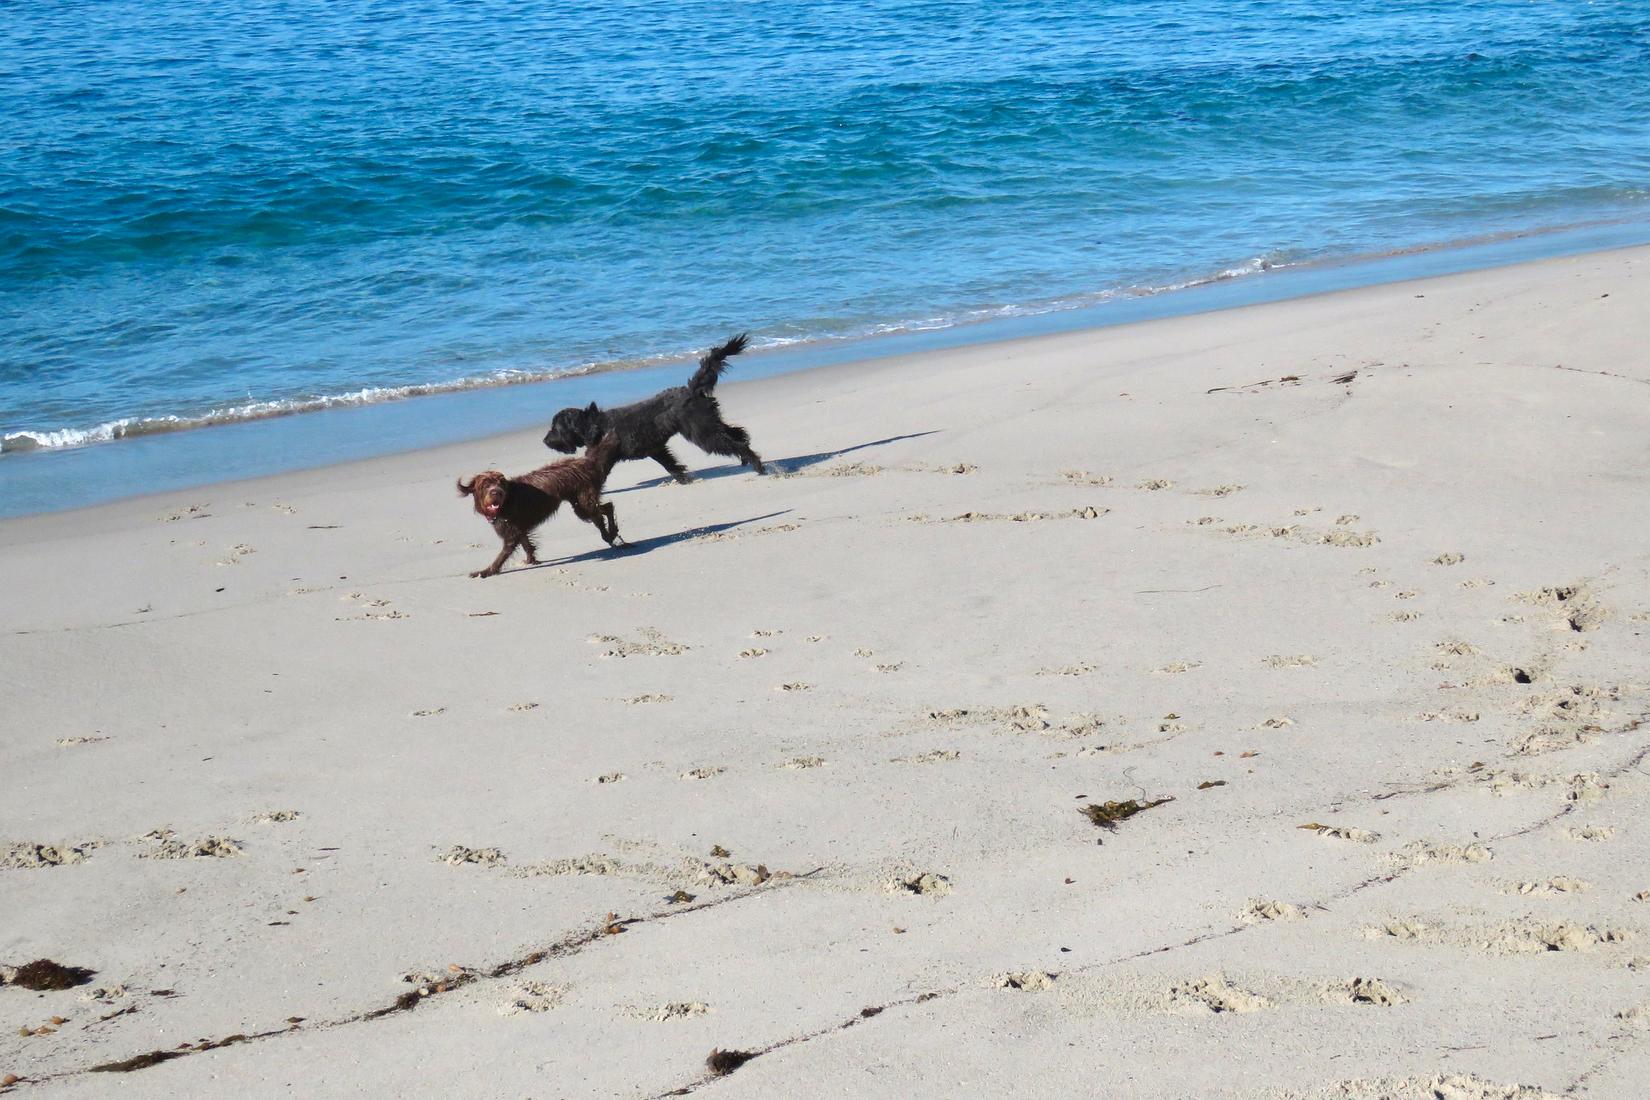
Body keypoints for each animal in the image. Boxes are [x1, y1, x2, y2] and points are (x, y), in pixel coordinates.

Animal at [458, 435, 623, 580]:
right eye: (485, 484)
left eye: (500, 483)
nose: (497, 492)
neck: (506, 502)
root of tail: (587, 463)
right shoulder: (519, 528)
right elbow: (526, 544)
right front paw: (531, 560)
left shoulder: (511, 533)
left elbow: (501, 556)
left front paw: (485, 572)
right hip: (581, 503)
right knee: (602, 513)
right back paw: (611, 535)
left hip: (584, 503)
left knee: (605, 510)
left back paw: (610, 534)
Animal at [547, 333, 765, 484]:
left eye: (555, 428)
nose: (545, 440)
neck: (594, 425)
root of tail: (691, 390)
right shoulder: (657, 449)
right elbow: (670, 465)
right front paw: (684, 479)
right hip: (709, 423)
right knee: (737, 434)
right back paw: (747, 458)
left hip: (702, 433)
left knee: (736, 444)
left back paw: (757, 465)